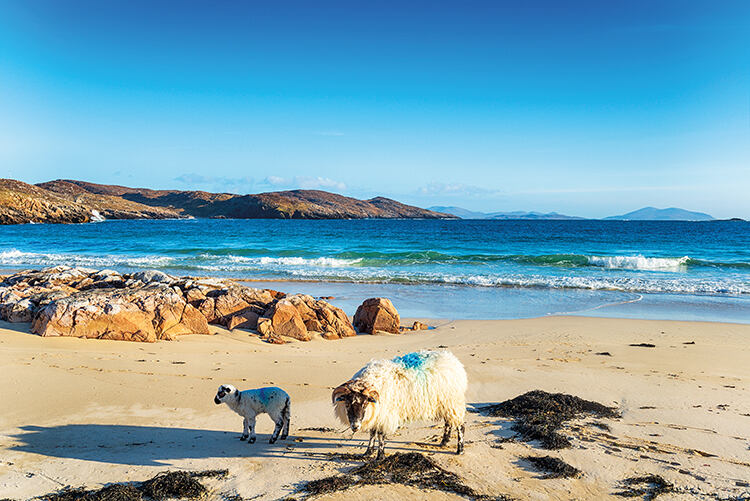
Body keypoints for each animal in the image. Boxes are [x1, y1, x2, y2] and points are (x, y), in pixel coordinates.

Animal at [332, 348, 468, 458]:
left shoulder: (384, 415)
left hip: (453, 402)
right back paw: (444, 442)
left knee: (460, 426)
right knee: (448, 422)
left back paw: (460, 450)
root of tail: (454, 361)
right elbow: (372, 434)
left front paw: (380, 456)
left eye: (365, 403)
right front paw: (368, 452)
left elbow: (380, 435)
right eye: (347, 404)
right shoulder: (378, 415)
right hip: (446, 404)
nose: (355, 426)